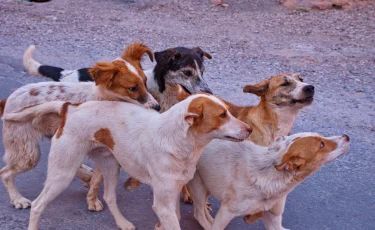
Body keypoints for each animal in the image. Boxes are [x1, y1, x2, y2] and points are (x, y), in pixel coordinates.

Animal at [0, 42, 160, 209]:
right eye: (133, 88)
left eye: (145, 81)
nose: (157, 107)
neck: (105, 98)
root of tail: (8, 99)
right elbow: (98, 177)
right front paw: (93, 201)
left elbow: (98, 177)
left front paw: (92, 196)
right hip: (28, 153)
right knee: (4, 173)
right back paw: (17, 198)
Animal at [2, 92, 253, 229]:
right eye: (222, 115)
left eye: (229, 111)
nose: (250, 129)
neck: (177, 141)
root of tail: (70, 108)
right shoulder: (162, 203)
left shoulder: (172, 196)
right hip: (62, 173)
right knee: (37, 204)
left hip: (111, 165)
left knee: (109, 197)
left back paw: (122, 223)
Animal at [189, 132, 352, 229]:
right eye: (321, 144)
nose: (346, 136)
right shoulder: (226, 212)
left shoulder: (273, 218)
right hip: (198, 185)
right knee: (198, 213)